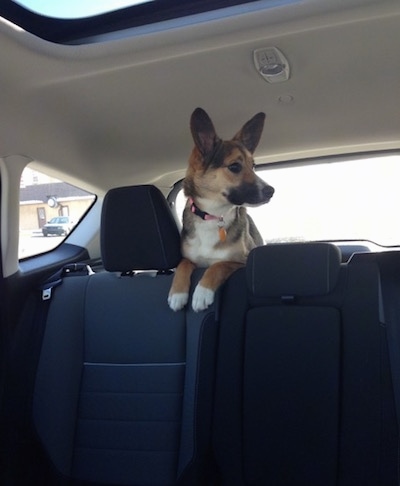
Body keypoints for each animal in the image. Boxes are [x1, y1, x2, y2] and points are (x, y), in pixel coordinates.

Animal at [167, 107, 274, 312]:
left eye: (253, 166)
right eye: (234, 166)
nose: (271, 191)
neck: (213, 215)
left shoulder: (242, 262)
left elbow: (218, 266)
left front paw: (202, 293)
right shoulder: (189, 258)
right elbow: (183, 264)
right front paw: (177, 294)